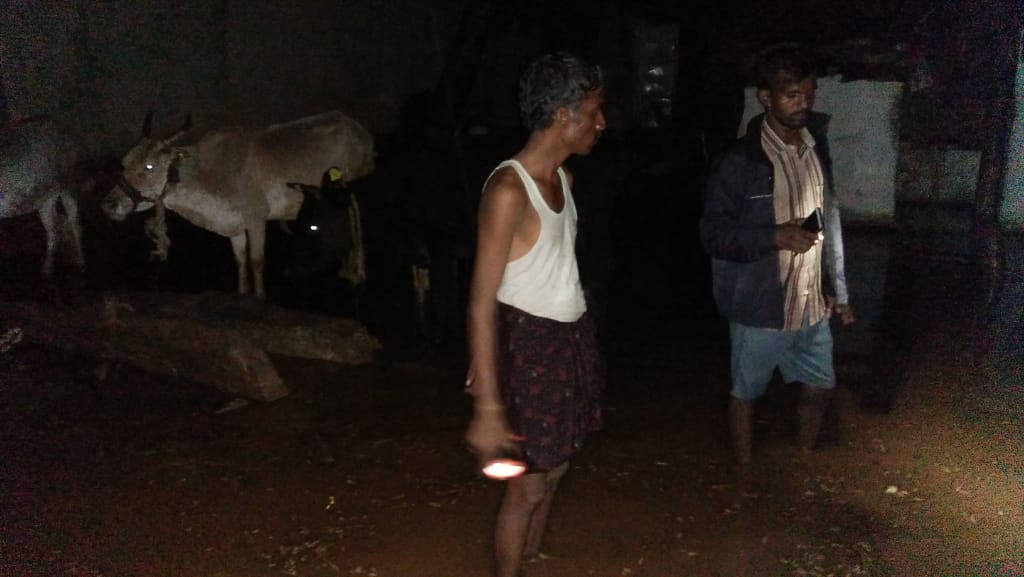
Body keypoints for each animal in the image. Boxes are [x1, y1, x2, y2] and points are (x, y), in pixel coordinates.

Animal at [0, 116, 84, 274]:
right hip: (45, 198)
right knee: (54, 227)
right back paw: (47, 269)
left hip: (68, 184)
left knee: (74, 220)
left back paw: (81, 262)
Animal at [102, 111, 376, 297]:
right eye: (124, 164)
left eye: (149, 166)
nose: (109, 204)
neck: (208, 173)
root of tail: (362, 131)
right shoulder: (234, 225)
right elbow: (241, 261)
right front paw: (243, 294)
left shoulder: (257, 216)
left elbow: (256, 261)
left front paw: (260, 297)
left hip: (353, 192)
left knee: (356, 224)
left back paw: (357, 272)